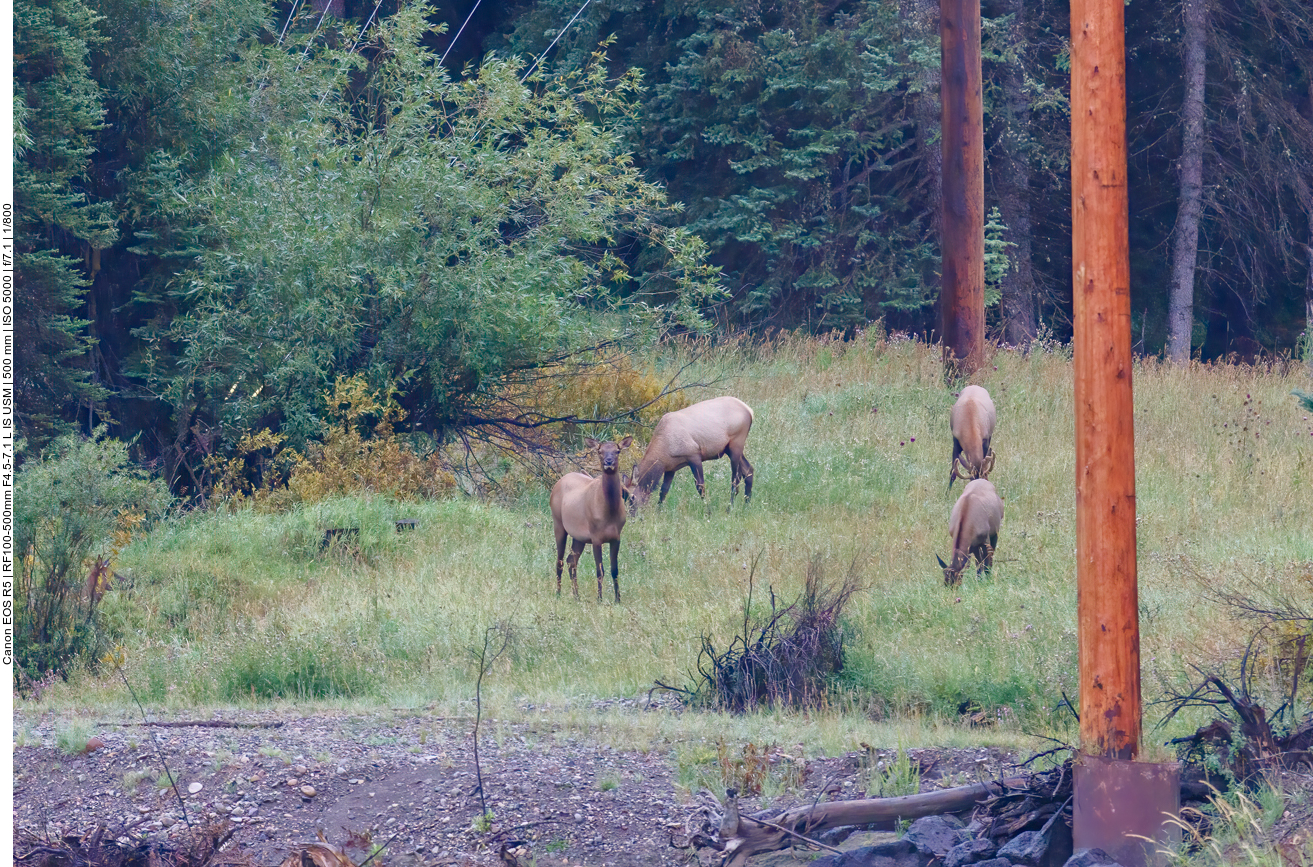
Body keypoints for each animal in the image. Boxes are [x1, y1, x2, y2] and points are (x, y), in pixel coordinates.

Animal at [551, 433, 632, 601]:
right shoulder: (596, 537)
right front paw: (600, 599)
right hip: (558, 523)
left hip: (579, 537)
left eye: (617, 451)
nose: (609, 462)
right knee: (560, 561)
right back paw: (558, 593)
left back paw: (576, 595)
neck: (609, 512)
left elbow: (615, 570)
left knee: (571, 560)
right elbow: (600, 570)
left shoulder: (616, 537)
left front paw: (618, 599)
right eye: (600, 451)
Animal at [627, 396, 756, 512]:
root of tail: (750, 411)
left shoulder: (694, 456)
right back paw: (747, 506)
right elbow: (663, 490)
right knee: (748, 470)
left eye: (631, 498)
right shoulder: (671, 468)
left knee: (736, 479)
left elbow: (700, 486)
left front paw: (708, 512)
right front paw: (658, 512)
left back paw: (729, 509)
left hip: (736, 445)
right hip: (729, 449)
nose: (632, 517)